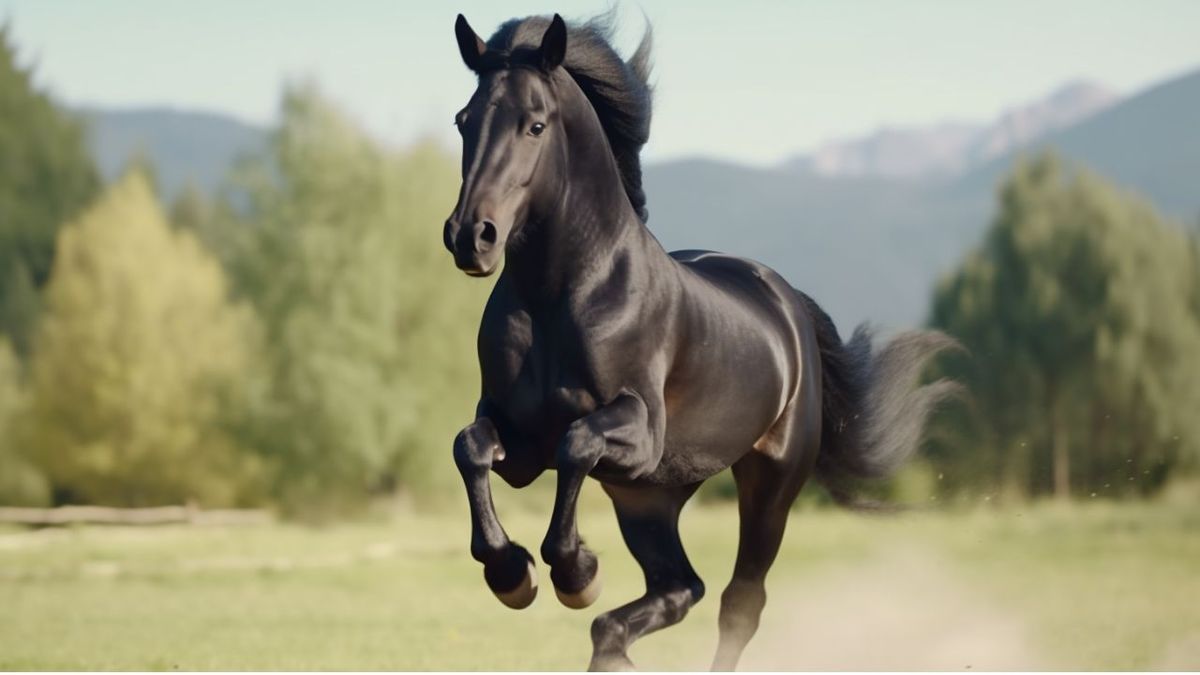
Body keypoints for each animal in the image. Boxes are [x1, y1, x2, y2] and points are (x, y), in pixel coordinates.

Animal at [442, 13, 959, 671]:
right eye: (464, 120)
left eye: (535, 124)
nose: (470, 237)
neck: (559, 297)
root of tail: (786, 299)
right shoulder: (521, 439)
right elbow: (471, 448)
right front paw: (511, 574)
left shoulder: (638, 434)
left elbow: (577, 443)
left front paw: (577, 572)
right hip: (649, 499)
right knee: (678, 588)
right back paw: (612, 641)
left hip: (766, 484)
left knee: (739, 602)